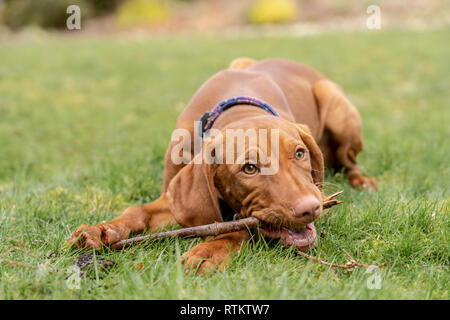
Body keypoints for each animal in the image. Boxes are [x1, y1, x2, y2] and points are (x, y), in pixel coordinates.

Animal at [67, 58, 376, 274]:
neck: (237, 109)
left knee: (350, 161)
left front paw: (211, 249)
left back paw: (363, 181)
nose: (310, 208)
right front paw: (101, 229)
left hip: (335, 103)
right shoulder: (172, 197)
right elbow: (136, 211)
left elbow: (240, 227)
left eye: (300, 154)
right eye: (249, 168)